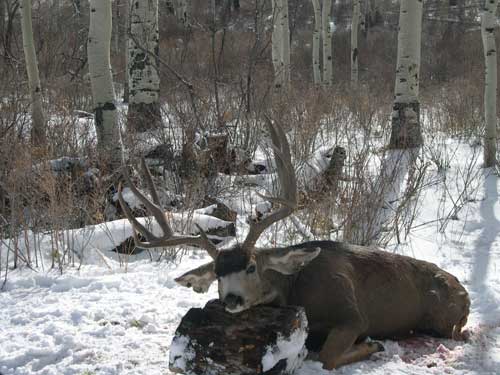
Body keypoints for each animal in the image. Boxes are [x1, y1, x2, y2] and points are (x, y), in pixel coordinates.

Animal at [119, 119, 470, 370]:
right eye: (218, 274)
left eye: (251, 267)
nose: (231, 299)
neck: (296, 289)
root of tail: (465, 294)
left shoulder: (353, 314)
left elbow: (327, 356)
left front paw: (373, 344)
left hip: (445, 319)